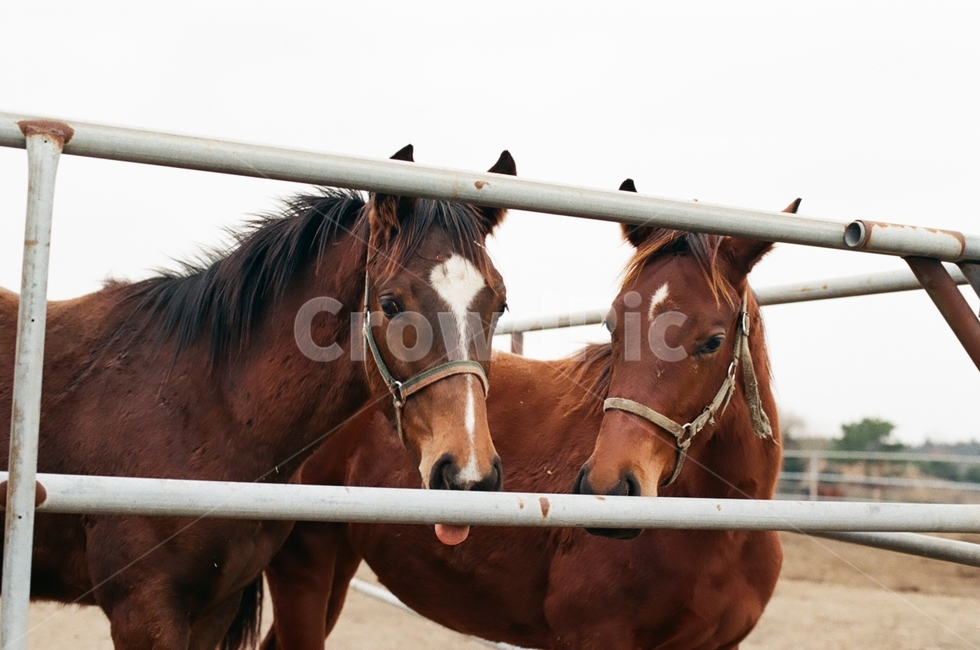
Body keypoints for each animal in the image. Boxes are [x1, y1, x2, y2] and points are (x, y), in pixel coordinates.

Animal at [0, 146, 516, 650]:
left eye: (500, 305)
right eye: (390, 304)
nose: (468, 476)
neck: (199, 407)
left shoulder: (214, 609)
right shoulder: (143, 611)